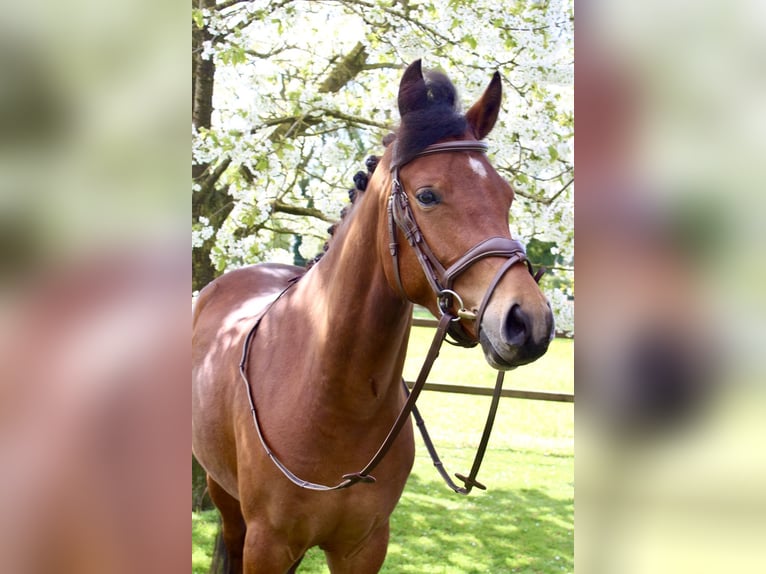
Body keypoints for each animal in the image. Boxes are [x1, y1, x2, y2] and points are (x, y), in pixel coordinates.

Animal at [192, 59, 554, 573]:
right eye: (427, 196)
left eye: (506, 195)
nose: (528, 321)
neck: (332, 399)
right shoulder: (267, 545)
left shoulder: (364, 547)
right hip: (226, 500)